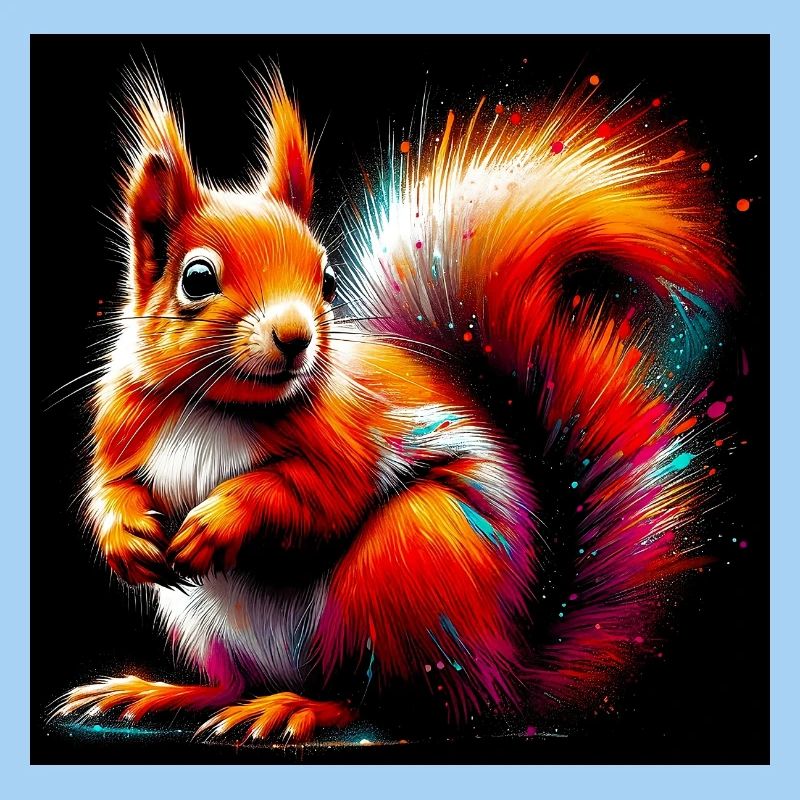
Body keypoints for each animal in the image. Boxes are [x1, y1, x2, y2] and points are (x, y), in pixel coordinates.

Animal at [52, 66, 735, 743]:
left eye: (325, 279)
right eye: (196, 279)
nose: (296, 337)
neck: (216, 406)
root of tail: (506, 675)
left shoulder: (346, 440)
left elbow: (318, 496)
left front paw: (219, 520)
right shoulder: (123, 422)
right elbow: (111, 486)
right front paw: (126, 536)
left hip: (405, 564)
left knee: (389, 702)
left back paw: (297, 707)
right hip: (207, 625)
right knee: (235, 681)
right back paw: (167, 692)